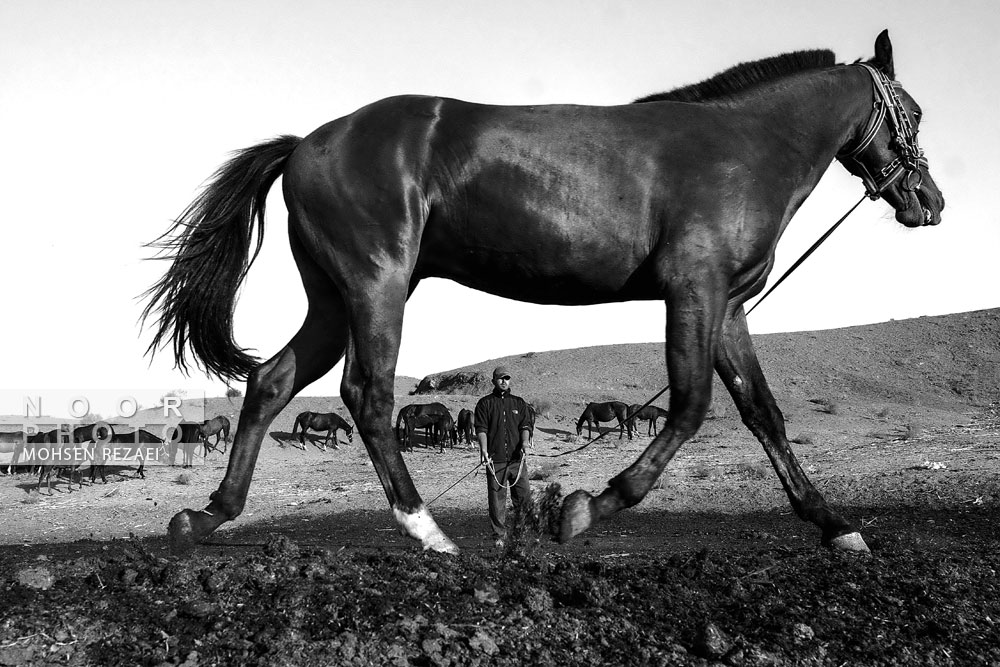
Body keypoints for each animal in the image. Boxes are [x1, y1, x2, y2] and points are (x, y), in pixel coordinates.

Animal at [145, 31, 940, 552]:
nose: (928, 201)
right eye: (915, 113)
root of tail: (308, 143)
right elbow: (689, 406)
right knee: (366, 394)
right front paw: (586, 509)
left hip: (333, 298)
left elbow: (762, 412)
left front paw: (837, 526)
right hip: (377, 286)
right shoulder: (694, 291)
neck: (741, 148)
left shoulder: (730, 304)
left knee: (271, 382)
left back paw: (208, 515)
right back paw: (429, 531)